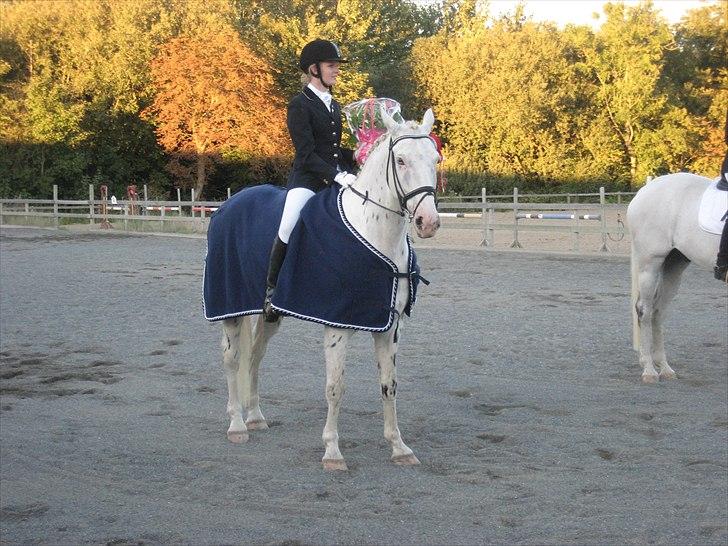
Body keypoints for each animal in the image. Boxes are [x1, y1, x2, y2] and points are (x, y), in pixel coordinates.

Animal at [216, 109, 440, 468]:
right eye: (401, 160)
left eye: (435, 159)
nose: (428, 222)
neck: (373, 232)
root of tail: (230, 202)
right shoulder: (338, 324)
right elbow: (335, 387)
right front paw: (332, 452)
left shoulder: (390, 325)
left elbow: (389, 385)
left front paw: (399, 447)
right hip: (229, 308)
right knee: (232, 359)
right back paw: (237, 424)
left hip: (268, 315)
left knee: (255, 356)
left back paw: (255, 417)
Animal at [628, 172, 724, 380]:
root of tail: (643, 192)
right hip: (650, 265)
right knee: (645, 311)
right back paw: (649, 370)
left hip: (674, 266)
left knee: (658, 311)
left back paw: (664, 367)